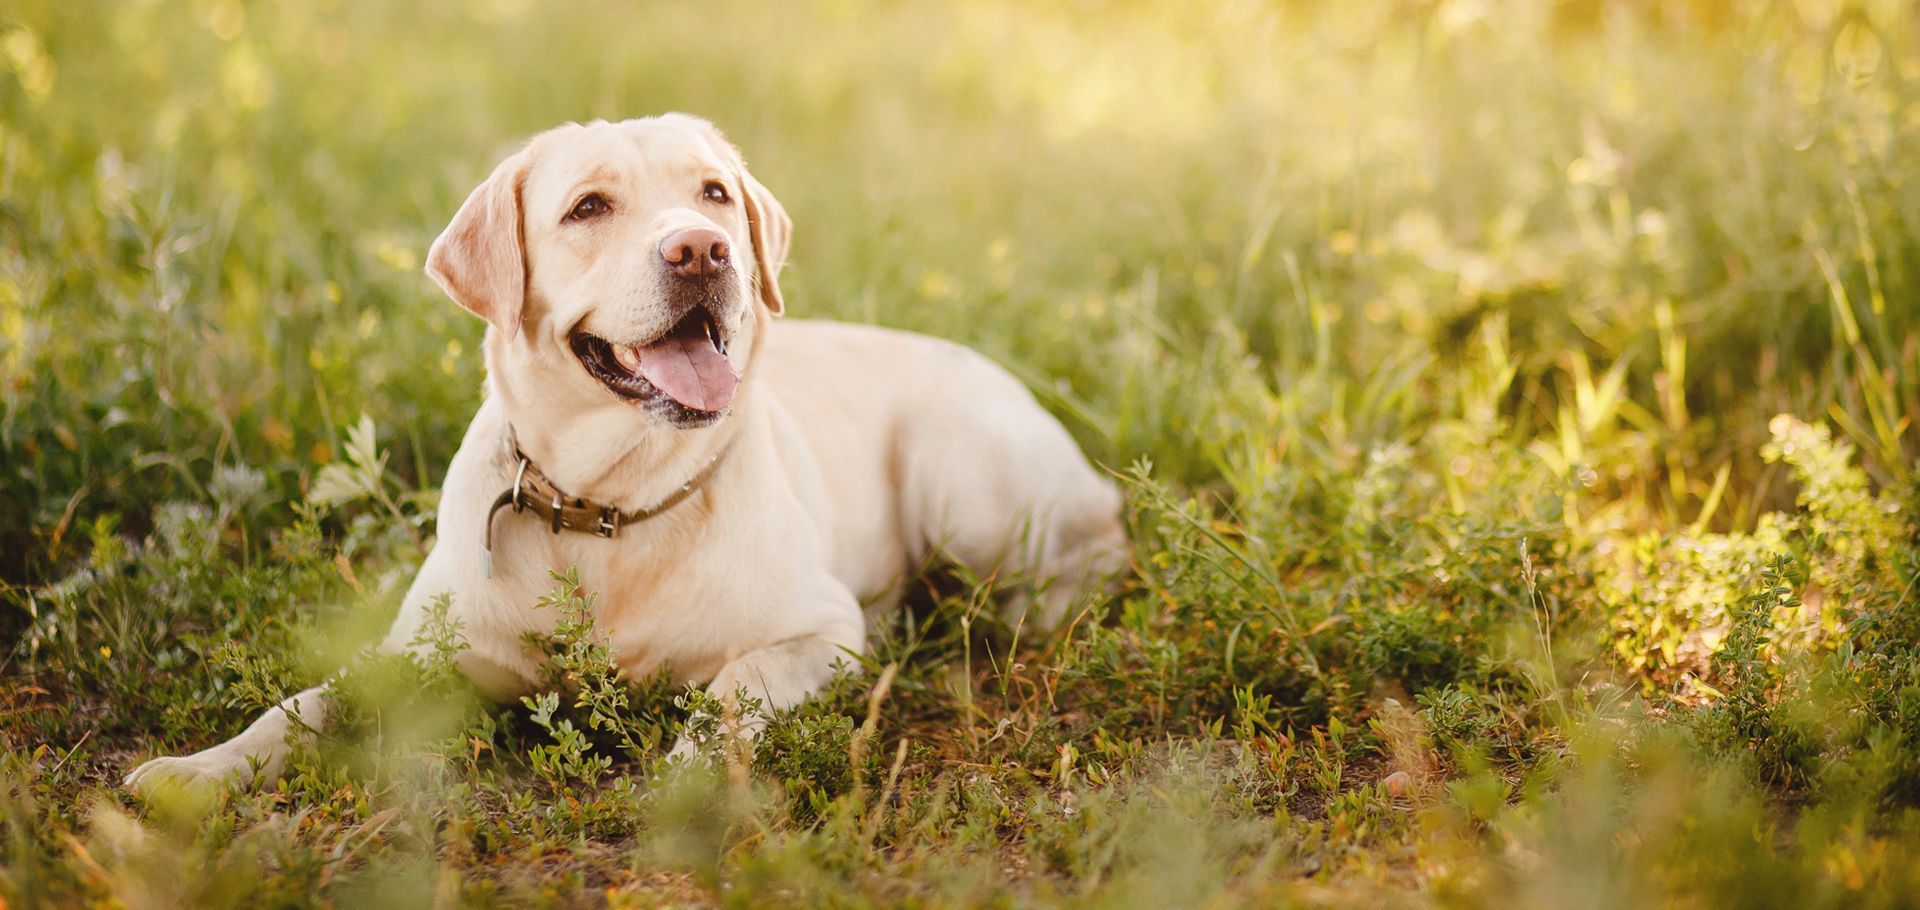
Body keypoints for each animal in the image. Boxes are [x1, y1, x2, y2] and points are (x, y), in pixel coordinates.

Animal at [127, 115, 1121, 790]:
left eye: (715, 193)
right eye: (588, 208)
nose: (703, 249)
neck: (604, 508)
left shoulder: (823, 629)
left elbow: (737, 681)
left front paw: (689, 770)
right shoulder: (415, 653)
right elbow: (301, 705)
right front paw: (196, 772)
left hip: (963, 484)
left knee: (1093, 553)